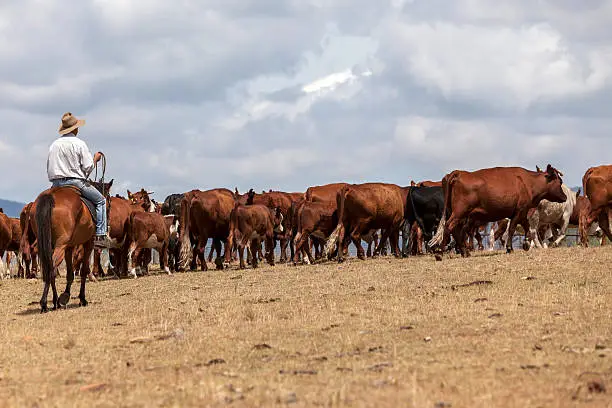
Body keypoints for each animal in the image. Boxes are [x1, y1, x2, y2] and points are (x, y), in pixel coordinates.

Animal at [31, 179, 112, 312]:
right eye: (109, 202)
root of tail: (50, 195)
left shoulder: (69, 247)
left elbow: (70, 273)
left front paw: (65, 295)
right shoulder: (88, 243)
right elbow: (84, 270)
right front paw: (82, 299)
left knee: (50, 269)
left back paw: (55, 302)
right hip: (61, 246)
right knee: (51, 268)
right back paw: (44, 303)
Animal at [430, 164, 564, 256]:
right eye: (560, 182)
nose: (565, 197)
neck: (528, 182)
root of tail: (459, 173)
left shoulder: (522, 212)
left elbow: (527, 228)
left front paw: (525, 243)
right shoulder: (519, 211)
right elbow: (512, 229)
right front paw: (510, 248)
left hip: (458, 214)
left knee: (456, 230)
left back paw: (464, 252)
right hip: (460, 212)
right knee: (450, 227)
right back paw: (440, 253)